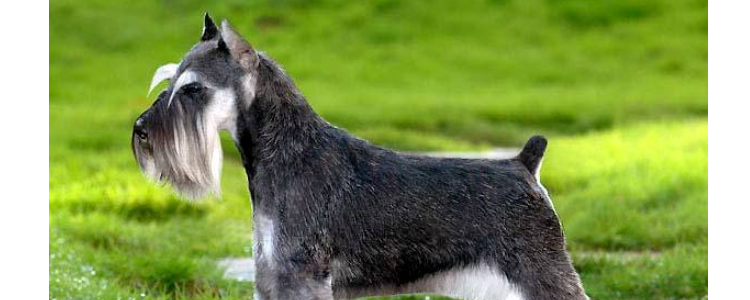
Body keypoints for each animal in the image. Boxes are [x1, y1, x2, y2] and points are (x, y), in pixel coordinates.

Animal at [132, 14, 592, 300]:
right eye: (170, 80)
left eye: (193, 89)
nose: (140, 131)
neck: (290, 154)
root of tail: (524, 164)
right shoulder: (271, 273)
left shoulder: (300, 275)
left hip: (540, 270)